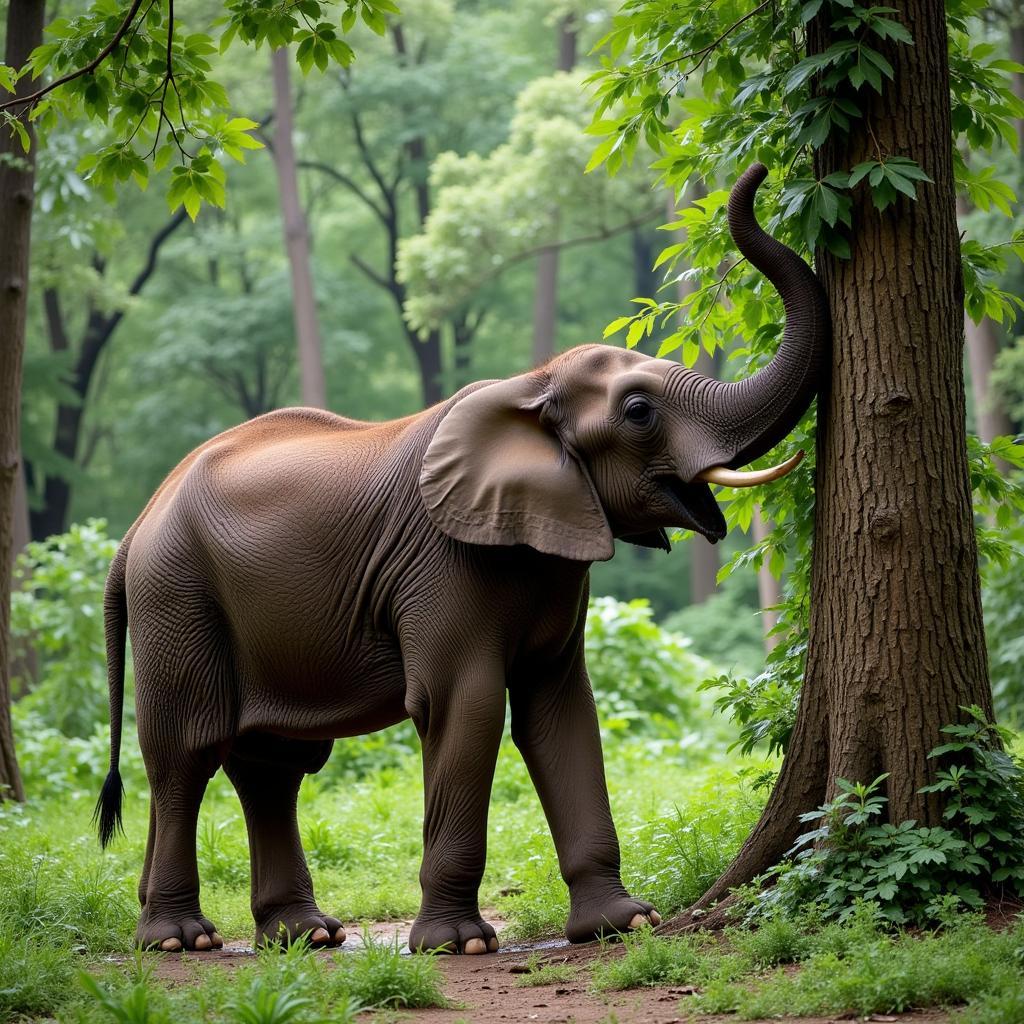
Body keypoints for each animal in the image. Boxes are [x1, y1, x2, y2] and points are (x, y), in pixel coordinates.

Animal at [96, 157, 827, 950]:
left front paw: (622, 925)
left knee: (272, 762)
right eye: (638, 413)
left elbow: (561, 707)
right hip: (176, 595)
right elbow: (467, 705)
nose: (756, 173)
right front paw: (459, 944)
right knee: (187, 753)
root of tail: (134, 530)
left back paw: (303, 936)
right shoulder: (442, 564)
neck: (532, 384)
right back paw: (180, 939)